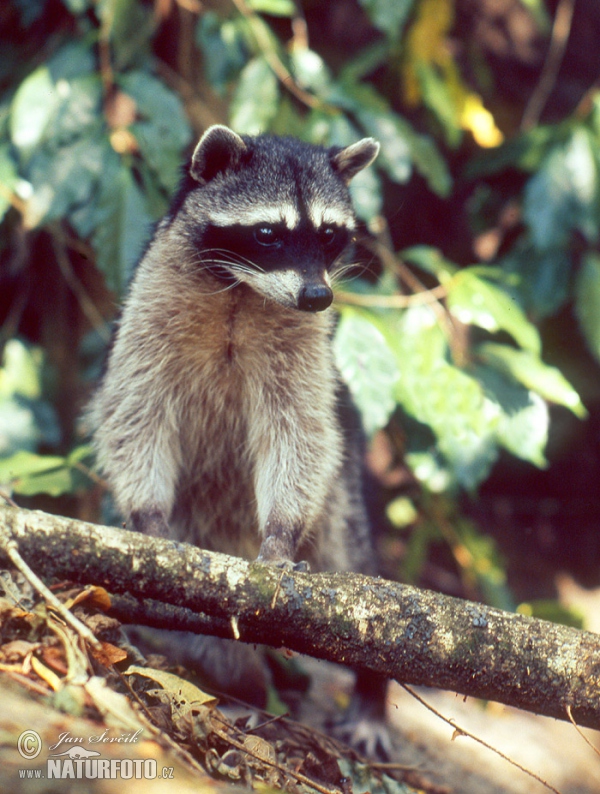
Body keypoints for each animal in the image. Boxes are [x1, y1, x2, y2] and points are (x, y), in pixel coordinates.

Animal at [89, 125, 390, 748]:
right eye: (269, 233)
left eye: (329, 234)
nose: (319, 296)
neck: (242, 288)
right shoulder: (148, 312)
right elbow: (135, 413)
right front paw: (149, 517)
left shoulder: (301, 344)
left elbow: (300, 431)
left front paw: (279, 534)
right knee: (209, 640)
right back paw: (244, 689)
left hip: (341, 502)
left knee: (352, 558)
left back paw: (369, 690)